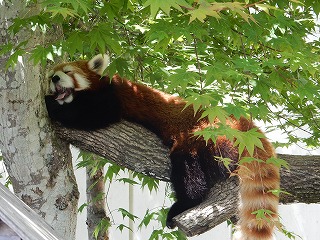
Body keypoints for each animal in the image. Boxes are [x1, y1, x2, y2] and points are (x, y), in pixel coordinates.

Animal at [45, 53, 280, 239]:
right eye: (51, 75)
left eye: (67, 71)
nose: (53, 78)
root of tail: (238, 121)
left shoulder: (113, 97)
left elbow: (91, 114)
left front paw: (50, 104)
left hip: (202, 134)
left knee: (188, 168)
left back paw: (185, 203)